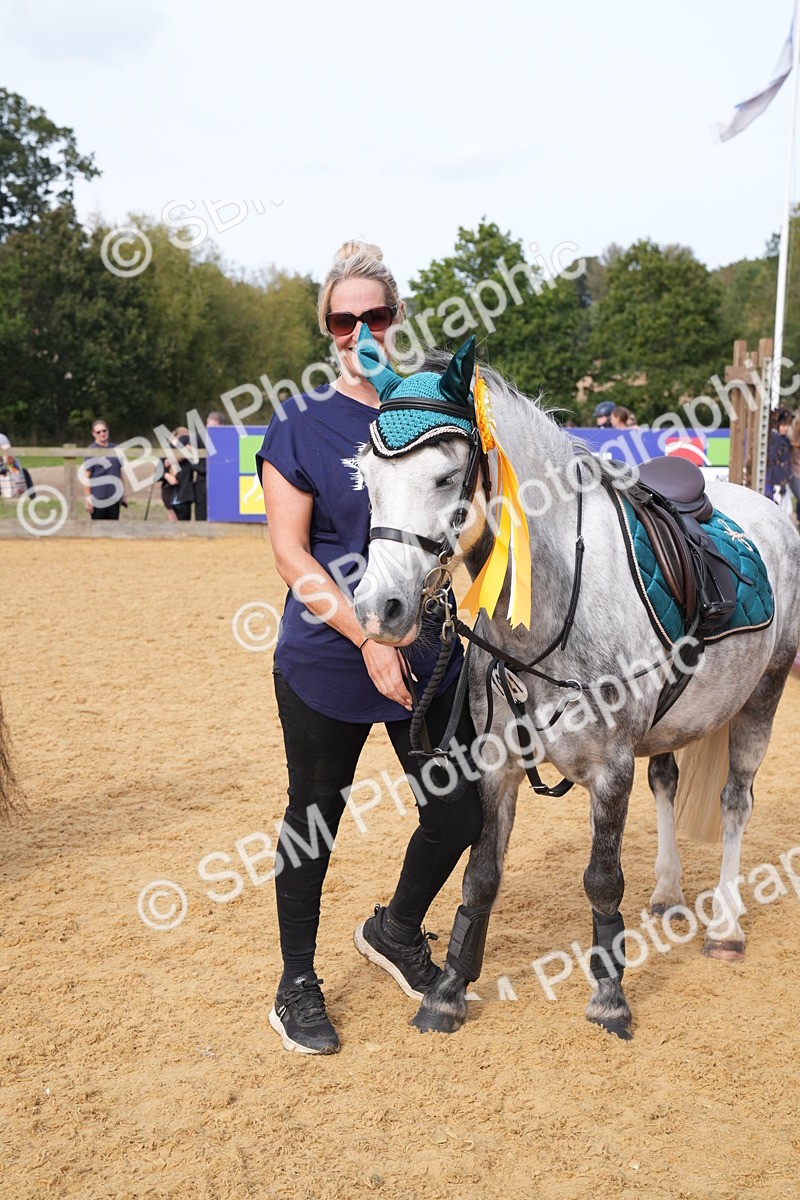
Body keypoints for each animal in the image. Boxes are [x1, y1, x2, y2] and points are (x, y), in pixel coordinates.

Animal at [352, 336, 800, 1041]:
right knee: (668, 780)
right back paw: (668, 894)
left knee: (735, 801)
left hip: (765, 693)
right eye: (366, 478)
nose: (379, 610)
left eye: (446, 478)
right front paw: (447, 992)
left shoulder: (611, 767)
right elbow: (480, 877)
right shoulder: (497, 764)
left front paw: (610, 997)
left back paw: (726, 926)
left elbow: (602, 880)